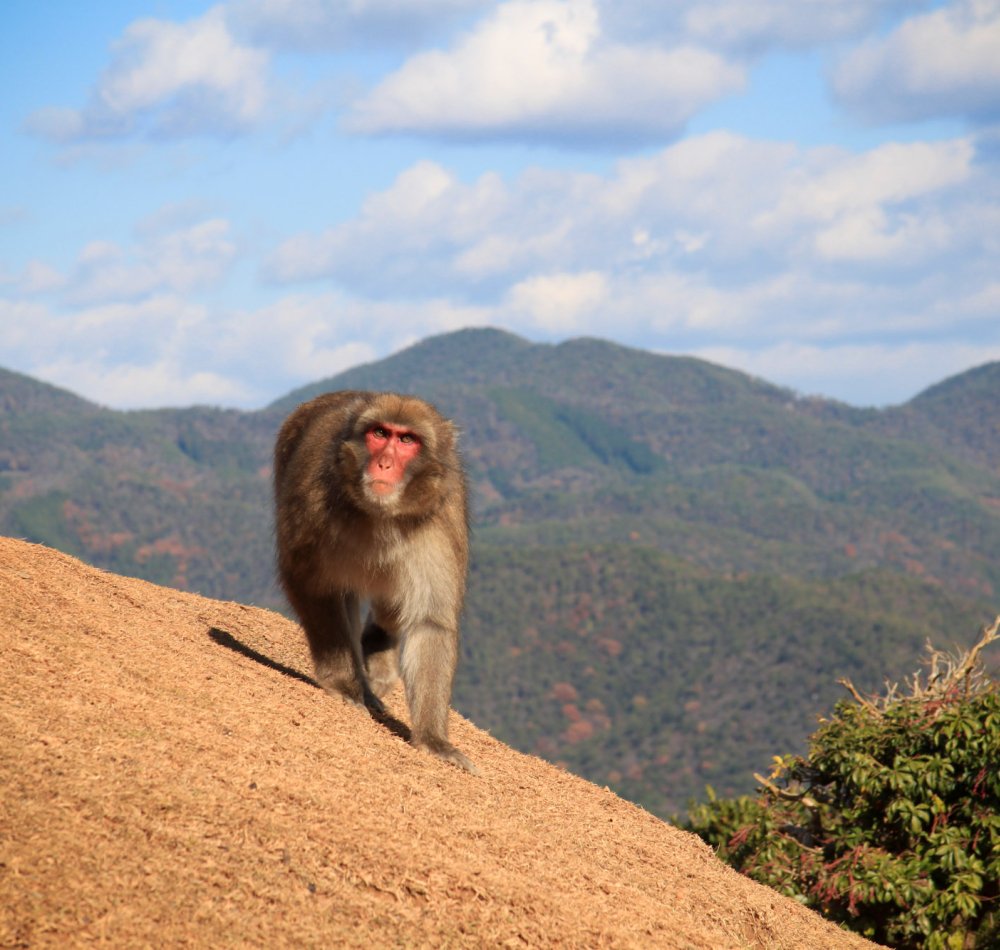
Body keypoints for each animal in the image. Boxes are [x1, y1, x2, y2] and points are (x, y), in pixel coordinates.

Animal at [273, 390, 476, 774]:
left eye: (407, 440)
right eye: (379, 434)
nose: (384, 463)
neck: (382, 513)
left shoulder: (441, 521)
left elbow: (429, 622)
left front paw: (433, 740)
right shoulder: (313, 500)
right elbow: (312, 582)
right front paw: (343, 684)